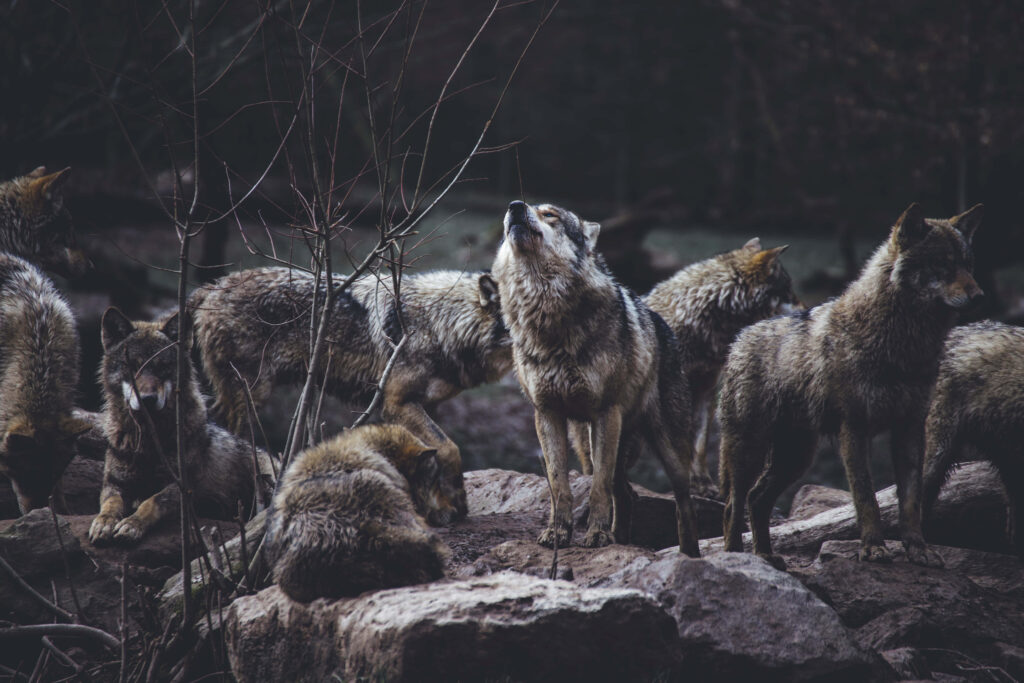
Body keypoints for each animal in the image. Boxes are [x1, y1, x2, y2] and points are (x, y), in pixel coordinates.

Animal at [88, 308, 276, 545]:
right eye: (133, 366)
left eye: (163, 367)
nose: (147, 399)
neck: (149, 441)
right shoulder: (114, 484)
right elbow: (111, 503)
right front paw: (103, 522)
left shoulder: (182, 487)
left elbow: (151, 502)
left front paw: (132, 524)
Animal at [189, 267, 512, 524]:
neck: (440, 323)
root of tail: (213, 285)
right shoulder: (396, 403)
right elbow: (450, 448)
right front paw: (457, 501)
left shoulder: (426, 405)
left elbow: (433, 456)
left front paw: (442, 506)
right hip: (251, 396)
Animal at [491, 200, 699, 555]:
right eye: (521, 208)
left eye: (550, 214)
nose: (515, 206)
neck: (547, 316)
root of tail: (663, 324)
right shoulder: (547, 414)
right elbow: (559, 485)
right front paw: (558, 533)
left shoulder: (605, 412)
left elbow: (598, 488)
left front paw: (598, 535)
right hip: (589, 442)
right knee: (626, 493)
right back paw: (622, 540)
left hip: (666, 449)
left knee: (682, 504)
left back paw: (689, 555)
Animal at [719, 203, 983, 568]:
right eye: (942, 264)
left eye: (968, 265)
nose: (979, 295)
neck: (903, 344)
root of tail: (740, 337)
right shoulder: (854, 429)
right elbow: (866, 497)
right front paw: (873, 548)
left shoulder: (910, 428)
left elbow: (911, 502)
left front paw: (918, 549)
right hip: (751, 450)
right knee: (734, 503)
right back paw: (736, 558)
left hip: (796, 457)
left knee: (757, 498)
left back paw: (766, 557)